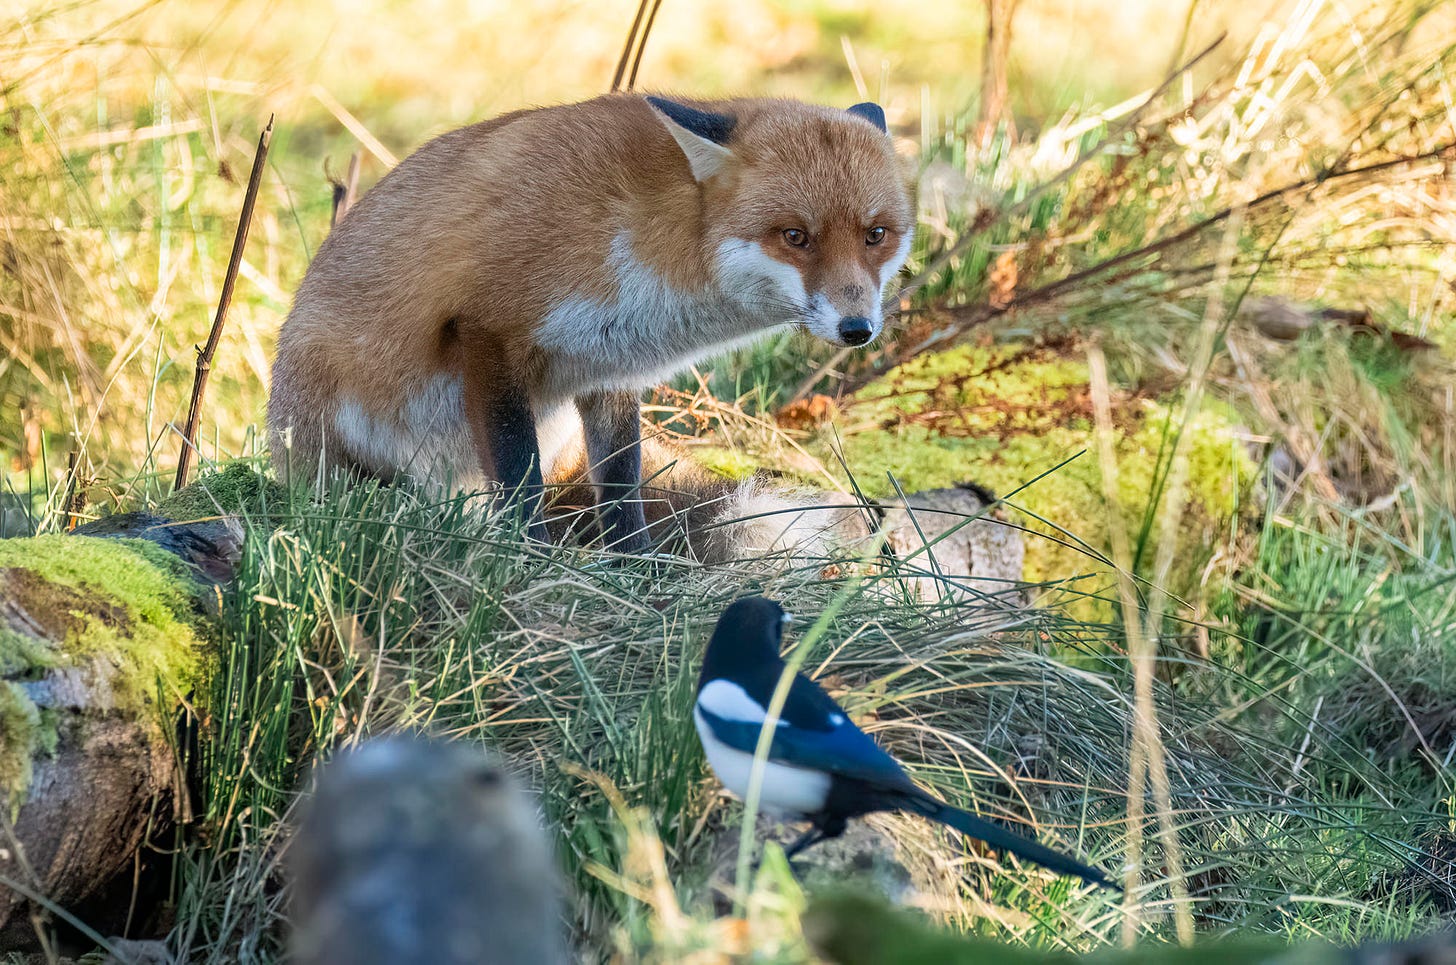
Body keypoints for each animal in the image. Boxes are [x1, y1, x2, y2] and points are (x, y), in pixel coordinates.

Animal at [267, 98, 914, 556]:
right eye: (795, 236)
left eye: (875, 235)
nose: (858, 329)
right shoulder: (487, 330)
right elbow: (519, 477)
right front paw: (531, 560)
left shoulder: (611, 369)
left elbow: (622, 492)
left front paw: (639, 571)